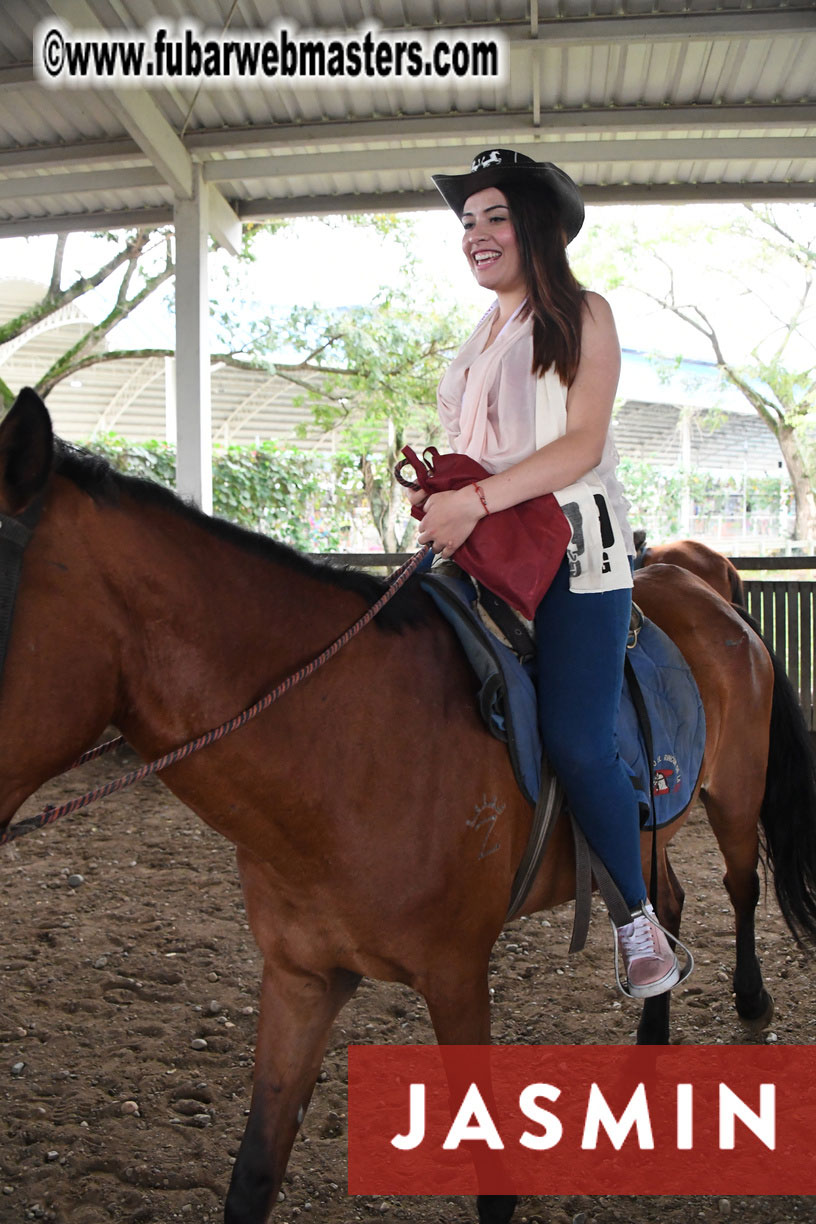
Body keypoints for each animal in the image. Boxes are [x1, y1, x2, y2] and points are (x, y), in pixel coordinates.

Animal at [4, 389, 816, 1224]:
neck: (344, 747)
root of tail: (709, 592)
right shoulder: (300, 978)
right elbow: (253, 1174)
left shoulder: (456, 976)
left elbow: (493, 1190)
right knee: (665, 895)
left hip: (735, 791)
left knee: (740, 885)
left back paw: (751, 1001)